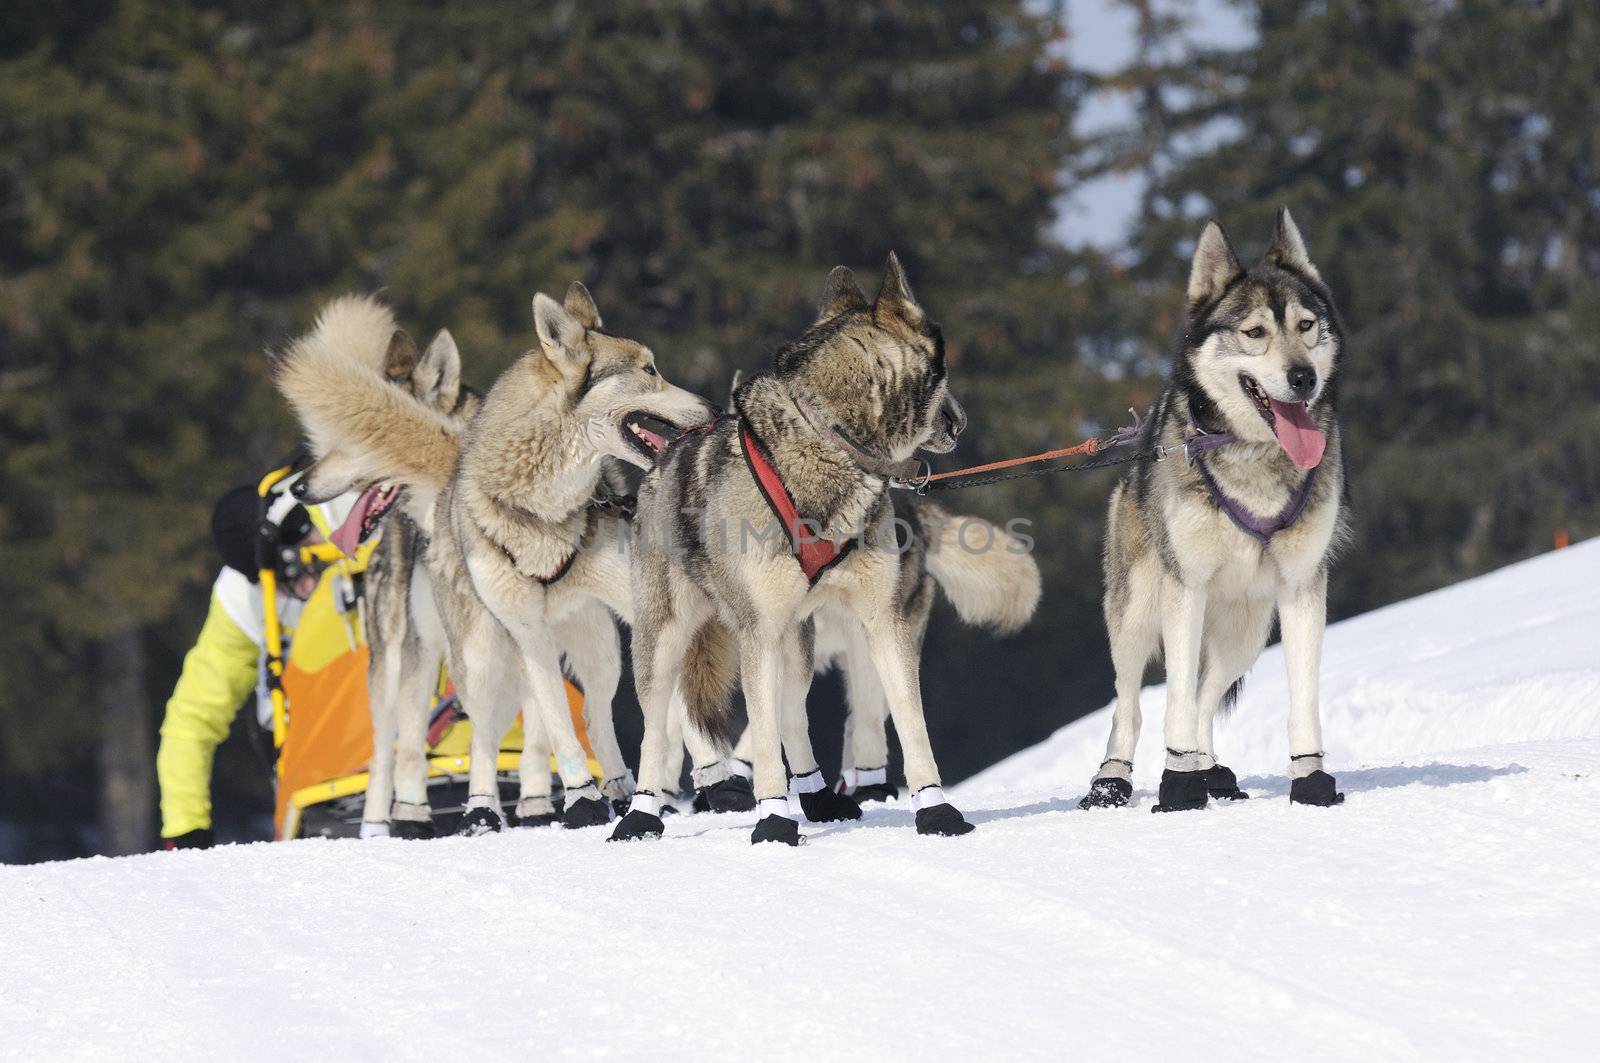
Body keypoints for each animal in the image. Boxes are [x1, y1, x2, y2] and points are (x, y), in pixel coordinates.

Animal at [278, 286, 716, 832]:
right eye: (649, 370)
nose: (710, 404)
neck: (546, 510)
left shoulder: (639, 609)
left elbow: (666, 705)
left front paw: (717, 781)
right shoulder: (524, 631)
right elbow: (551, 726)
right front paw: (579, 799)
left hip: (595, 645)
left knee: (592, 717)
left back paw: (616, 786)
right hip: (462, 653)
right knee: (449, 741)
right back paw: (457, 811)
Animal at [608, 252, 972, 845]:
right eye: (942, 364)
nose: (960, 422)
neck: (829, 443)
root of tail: (661, 461)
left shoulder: (883, 619)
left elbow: (910, 723)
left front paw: (936, 811)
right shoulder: (756, 631)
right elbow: (757, 742)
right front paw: (773, 819)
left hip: (795, 640)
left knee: (792, 714)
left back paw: (817, 795)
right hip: (666, 638)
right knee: (657, 725)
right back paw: (640, 815)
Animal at [1081, 208, 1356, 813]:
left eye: (1306, 325)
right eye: (1255, 333)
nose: (1303, 377)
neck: (1254, 458)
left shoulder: (1303, 587)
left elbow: (1302, 698)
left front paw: (1310, 780)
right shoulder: (1184, 589)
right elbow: (1173, 701)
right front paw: (1178, 787)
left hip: (1246, 631)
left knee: (1207, 696)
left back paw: (1211, 770)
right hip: (1138, 614)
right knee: (1131, 705)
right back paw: (1113, 782)